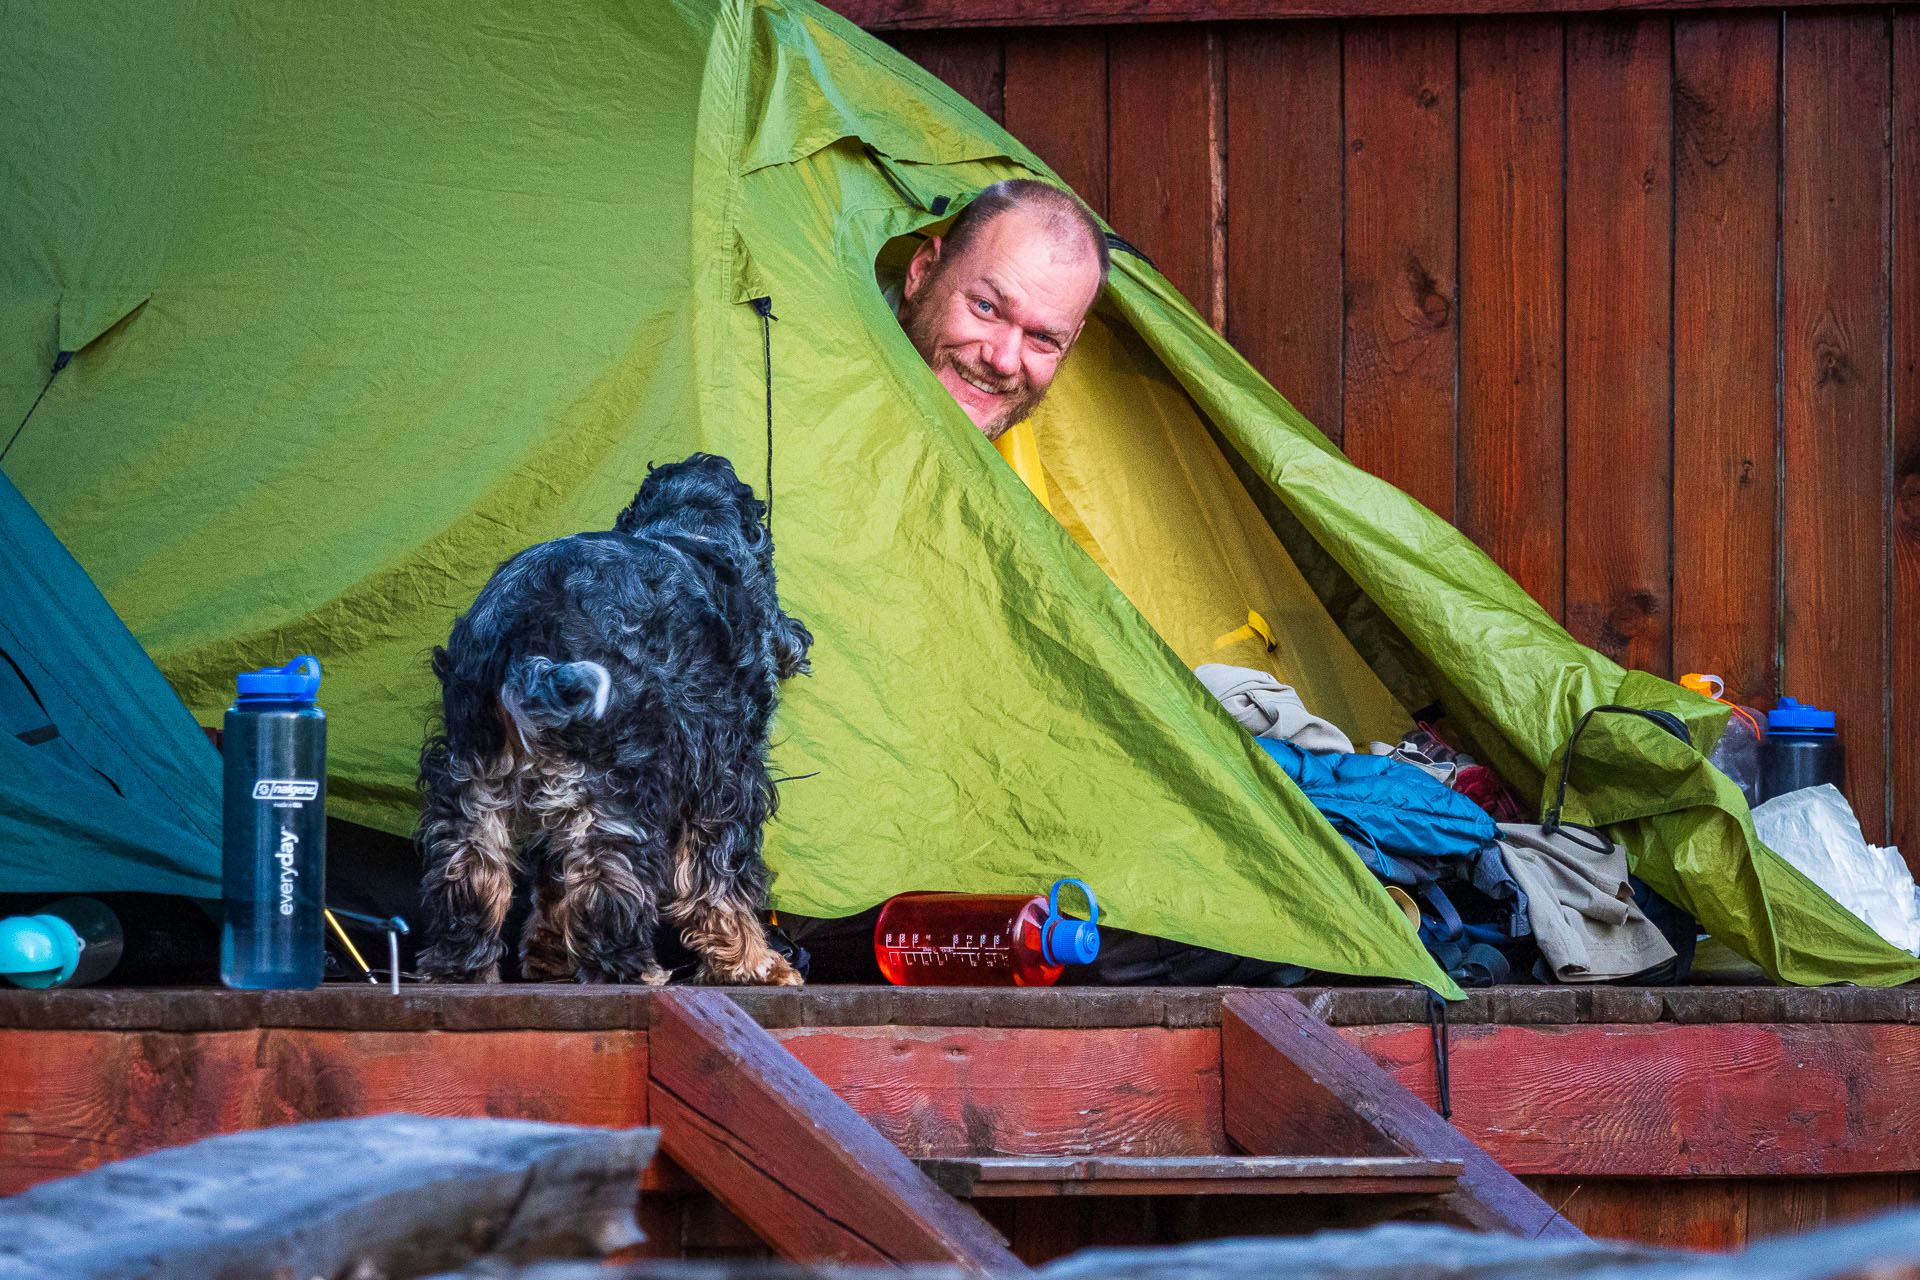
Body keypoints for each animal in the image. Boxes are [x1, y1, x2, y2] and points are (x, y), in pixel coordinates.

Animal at [420, 454, 810, 990]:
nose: (799, 639)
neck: (688, 529)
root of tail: (528, 635)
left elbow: (552, 879)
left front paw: (548, 958)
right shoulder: (726, 771)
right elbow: (716, 879)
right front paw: (755, 965)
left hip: (475, 777)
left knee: (470, 865)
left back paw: (460, 969)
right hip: (623, 780)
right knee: (608, 873)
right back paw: (631, 969)